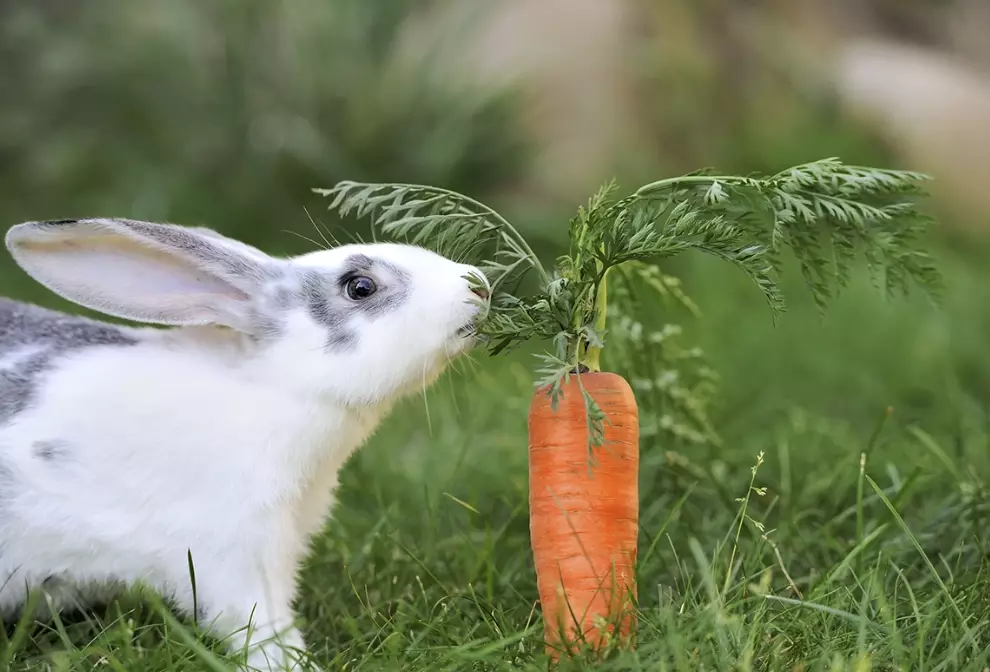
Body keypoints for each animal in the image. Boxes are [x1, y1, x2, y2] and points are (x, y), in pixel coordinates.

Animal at [0, 217, 490, 671]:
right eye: (360, 287)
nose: (479, 286)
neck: (274, 385)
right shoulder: (235, 553)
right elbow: (261, 625)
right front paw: (294, 664)